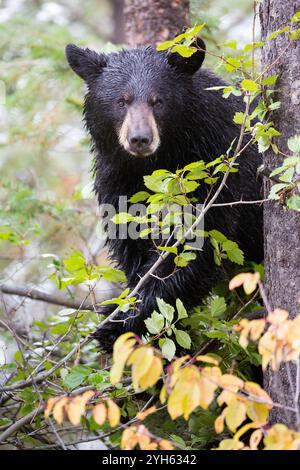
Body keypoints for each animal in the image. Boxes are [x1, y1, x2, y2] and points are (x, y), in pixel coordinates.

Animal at [65, 38, 262, 350]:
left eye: (157, 101)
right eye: (121, 101)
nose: (139, 138)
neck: (157, 161)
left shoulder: (218, 167)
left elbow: (198, 243)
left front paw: (121, 321)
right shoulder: (118, 179)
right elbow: (130, 237)